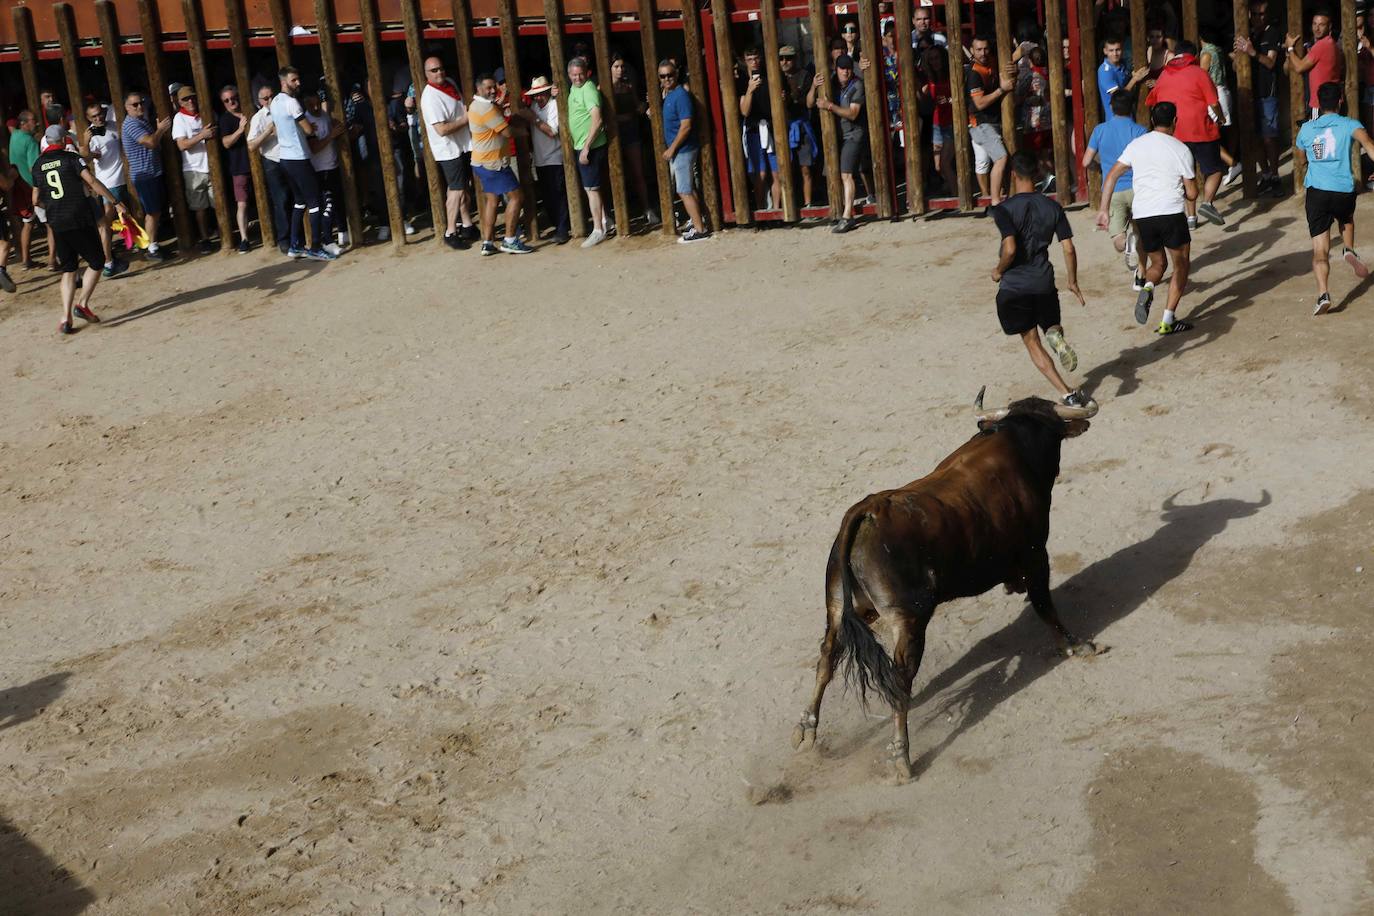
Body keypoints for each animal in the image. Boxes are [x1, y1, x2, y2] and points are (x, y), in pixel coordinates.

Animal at [791, 387, 1099, 780]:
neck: (1016, 439)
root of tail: (868, 510)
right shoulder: (1035, 554)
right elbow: (1045, 605)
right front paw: (1077, 645)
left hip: (837, 609)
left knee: (827, 658)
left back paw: (806, 731)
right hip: (909, 621)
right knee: (900, 678)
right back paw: (901, 757)